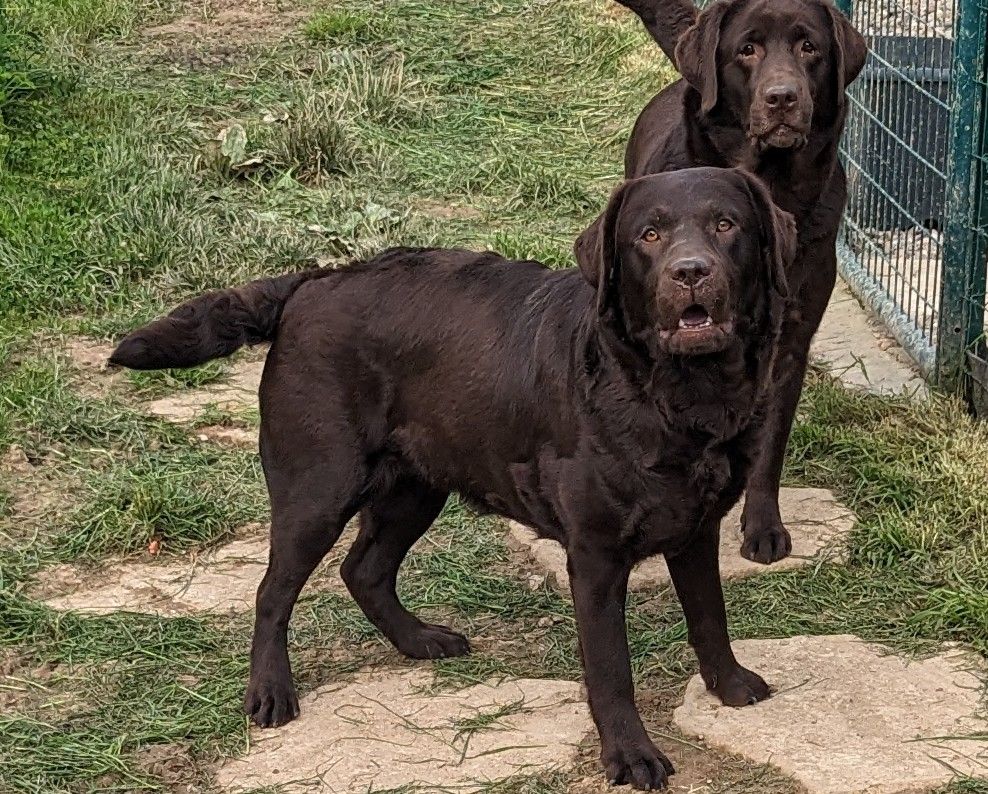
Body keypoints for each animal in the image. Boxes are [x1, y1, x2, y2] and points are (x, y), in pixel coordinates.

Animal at [616, 0, 864, 564]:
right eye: (746, 49)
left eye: (809, 47)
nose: (782, 97)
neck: (771, 187)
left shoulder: (789, 342)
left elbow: (769, 445)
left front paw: (763, 527)